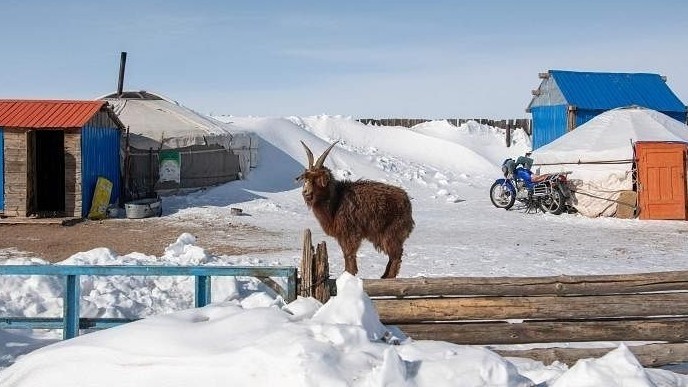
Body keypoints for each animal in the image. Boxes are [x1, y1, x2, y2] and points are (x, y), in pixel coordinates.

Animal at [296, 142, 414, 278]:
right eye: (306, 179)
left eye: (317, 179)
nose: (306, 193)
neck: (336, 200)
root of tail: (407, 200)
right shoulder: (342, 234)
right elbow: (346, 254)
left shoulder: (350, 232)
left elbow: (349, 254)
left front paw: (349, 275)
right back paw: (384, 275)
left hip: (392, 232)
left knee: (396, 254)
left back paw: (389, 276)